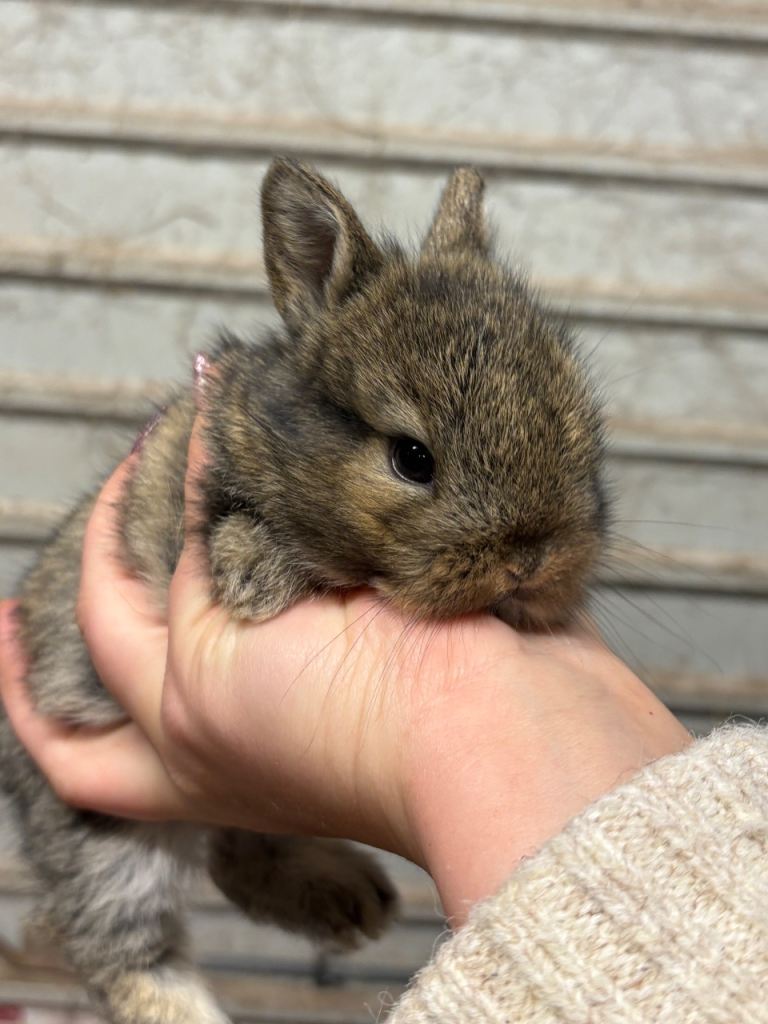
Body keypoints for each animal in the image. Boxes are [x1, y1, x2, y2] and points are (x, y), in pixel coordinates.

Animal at [0, 158, 608, 1024]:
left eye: (583, 426)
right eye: (412, 457)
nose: (532, 560)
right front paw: (255, 574)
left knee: (235, 850)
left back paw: (350, 902)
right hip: (99, 835)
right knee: (133, 955)